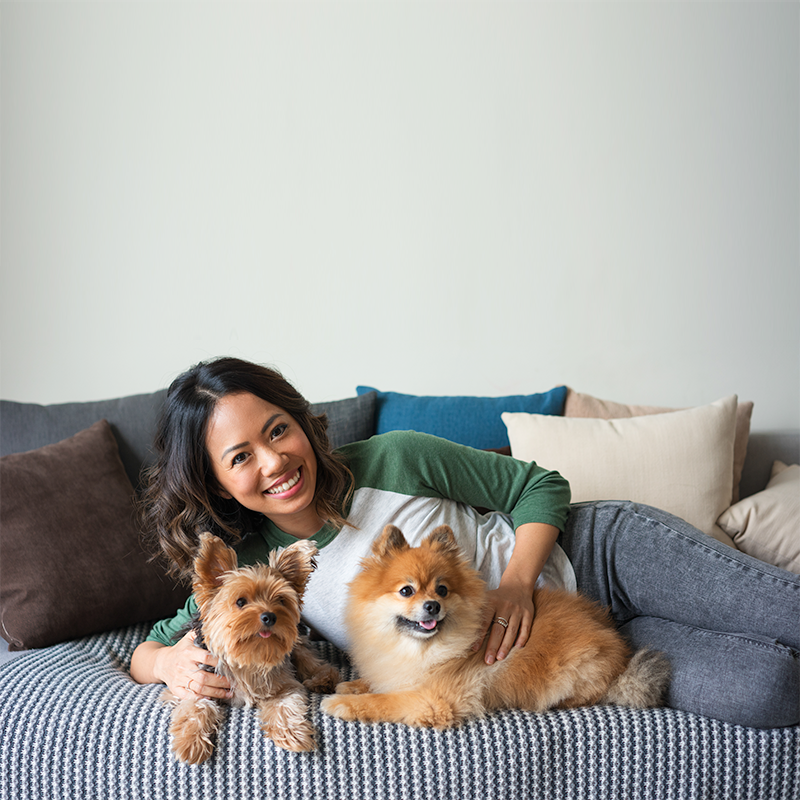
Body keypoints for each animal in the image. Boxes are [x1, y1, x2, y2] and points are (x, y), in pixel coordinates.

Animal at [162, 532, 339, 764]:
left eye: (281, 600)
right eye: (240, 602)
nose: (269, 616)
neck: (249, 658)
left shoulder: (284, 684)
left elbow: (285, 704)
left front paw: (292, 735)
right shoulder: (193, 681)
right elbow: (195, 706)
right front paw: (190, 742)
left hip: (297, 643)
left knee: (309, 659)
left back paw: (323, 679)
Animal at [321, 524, 668, 728]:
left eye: (442, 590)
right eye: (406, 591)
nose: (432, 605)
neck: (420, 649)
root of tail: (621, 651)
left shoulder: (435, 699)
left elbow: (386, 700)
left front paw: (345, 703)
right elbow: (380, 683)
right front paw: (353, 685)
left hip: (576, 670)